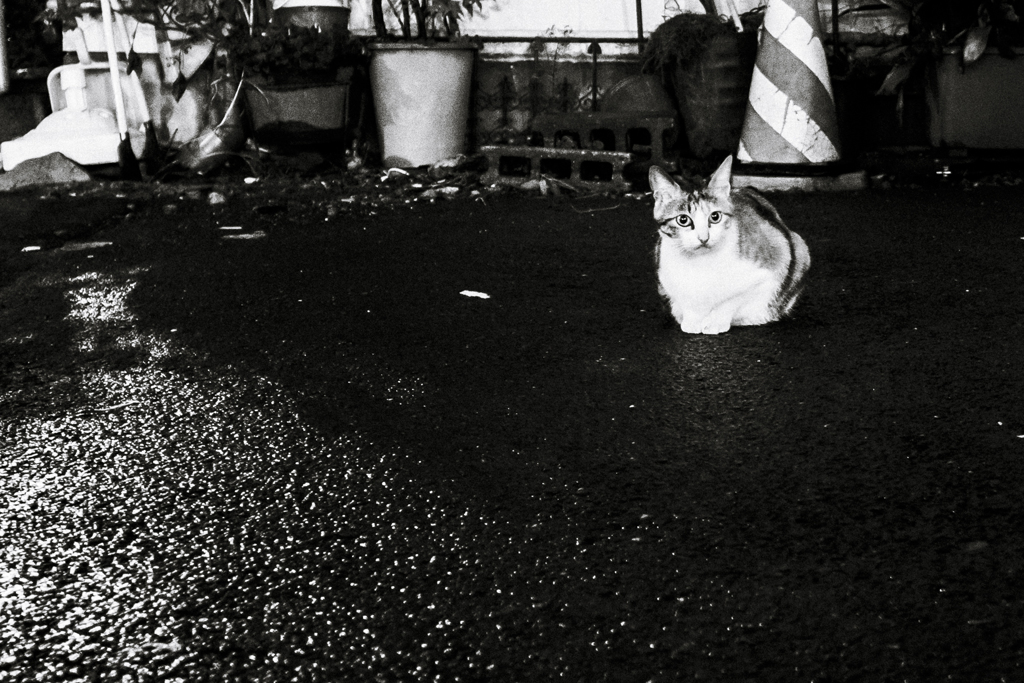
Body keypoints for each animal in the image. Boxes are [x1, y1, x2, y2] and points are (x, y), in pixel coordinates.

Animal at [651, 155, 811, 335]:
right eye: (683, 220)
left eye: (715, 216)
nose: (704, 238)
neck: (701, 263)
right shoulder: (666, 277)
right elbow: (687, 301)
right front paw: (692, 320)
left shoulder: (771, 267)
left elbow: (732, 299)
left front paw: (716, 321)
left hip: (800, 247)